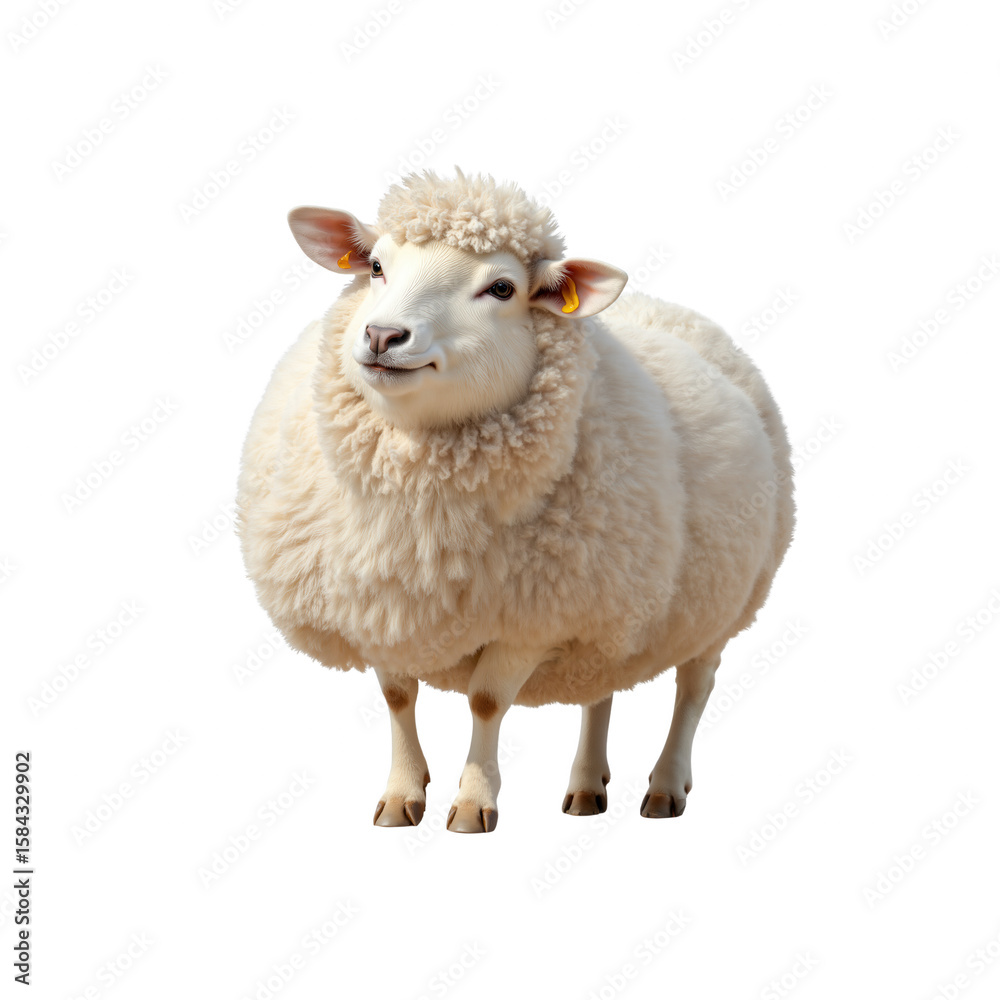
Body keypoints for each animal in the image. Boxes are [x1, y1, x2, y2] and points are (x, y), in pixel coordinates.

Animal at [236, 170, 795, 834]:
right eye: (375, 266)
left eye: (501, 288)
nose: (381, 335)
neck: (421, 522)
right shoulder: (377, 607)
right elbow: (398, 697)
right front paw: (401, 796)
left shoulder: (535, 617)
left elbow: (485, 701)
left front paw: (473, 802)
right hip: (609, 604)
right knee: (599, 689)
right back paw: (586, 786)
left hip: (720, 599)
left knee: (694, 687)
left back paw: (663, 788)